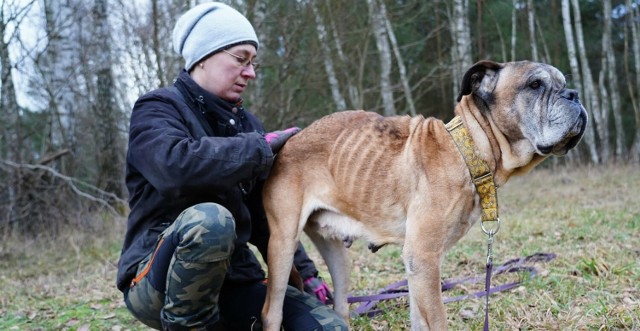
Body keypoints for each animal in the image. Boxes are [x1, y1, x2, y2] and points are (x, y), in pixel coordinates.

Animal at [258, 61, 584, 330]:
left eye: (563, 82)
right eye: (535, 85)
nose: (575, 94)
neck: (468, 150)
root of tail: (282, 148)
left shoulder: (417, 270)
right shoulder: (424, 259)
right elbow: (437, 320)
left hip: (337, 255)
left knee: (340, 306)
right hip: (283, 245)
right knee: (272, 311)